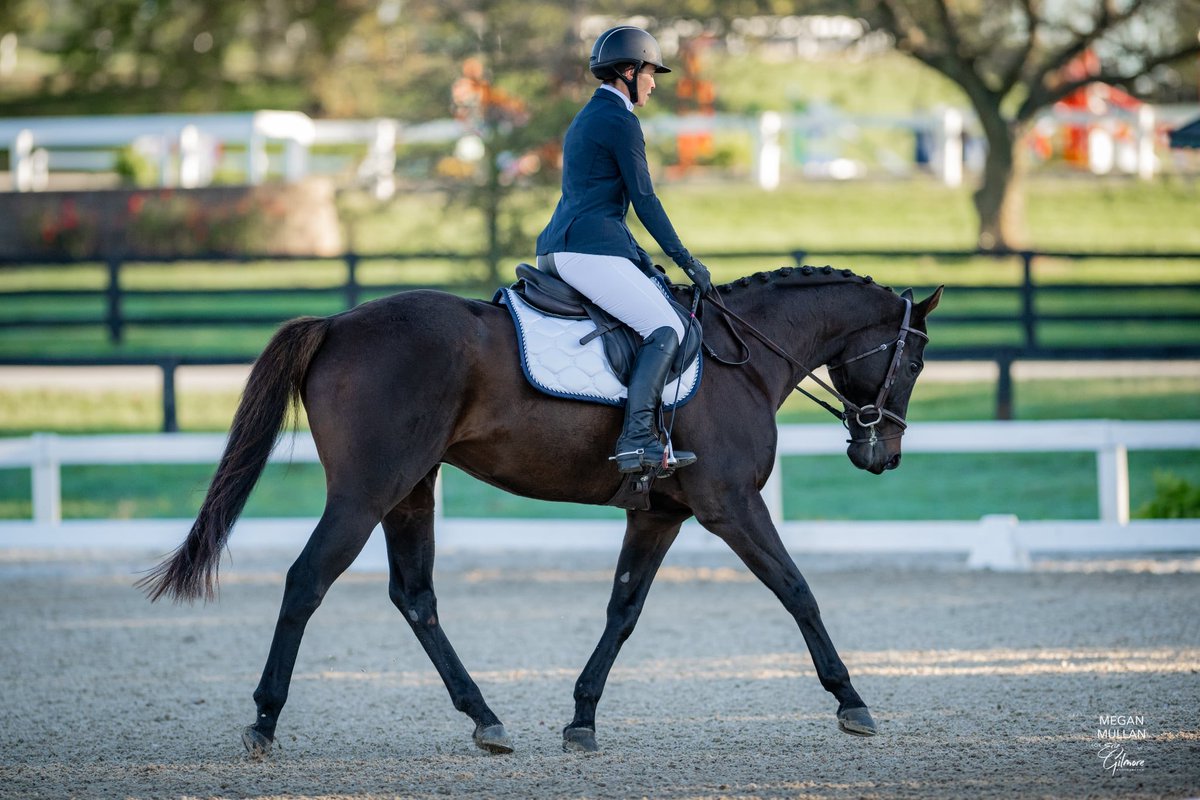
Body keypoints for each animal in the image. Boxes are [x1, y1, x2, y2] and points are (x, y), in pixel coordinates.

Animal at [140, 265, 943, 756]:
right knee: (307, 581)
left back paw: (487, 719)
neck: (739, 359)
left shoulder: (659, 515)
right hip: (367, 491)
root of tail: (338, 324)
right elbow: (797, 589)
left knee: (415, 596)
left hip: (411, 490)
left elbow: (623, 611)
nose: (882, 454)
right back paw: (264, 721)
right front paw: (851, 700)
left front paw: (581, 718)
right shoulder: (731, 505)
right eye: (913, 361)